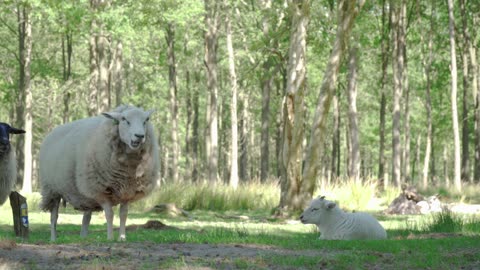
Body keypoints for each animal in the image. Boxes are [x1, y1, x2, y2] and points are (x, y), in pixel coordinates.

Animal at [39, 105, 159, 240]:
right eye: (124, 119)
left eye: (146, 120)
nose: (139, 136)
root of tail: (53, 132)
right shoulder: (101, 190)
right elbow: (110, 214)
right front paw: (110, 238)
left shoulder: (127, 192)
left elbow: (123, 215)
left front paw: (122, 238)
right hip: (52, 189)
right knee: (54, 217)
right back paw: (53, 238)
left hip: (85, 194)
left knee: (86, 218)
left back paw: (83, 237)